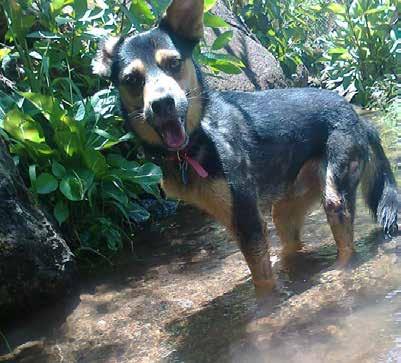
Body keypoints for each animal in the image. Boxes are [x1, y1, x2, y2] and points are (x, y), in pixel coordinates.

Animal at [93, 0, 396, 298]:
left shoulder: (247, 218)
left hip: (335, 190)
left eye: (174, 63)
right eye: (131, 80)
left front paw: (264, 305)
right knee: (292, 244)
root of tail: (357, 117)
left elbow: (262, 281)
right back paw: (286, 263)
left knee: (347, 244)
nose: (162, 104)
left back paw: (339, 269)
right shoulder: (238, 219)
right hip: (286, 206)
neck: (197, 140)